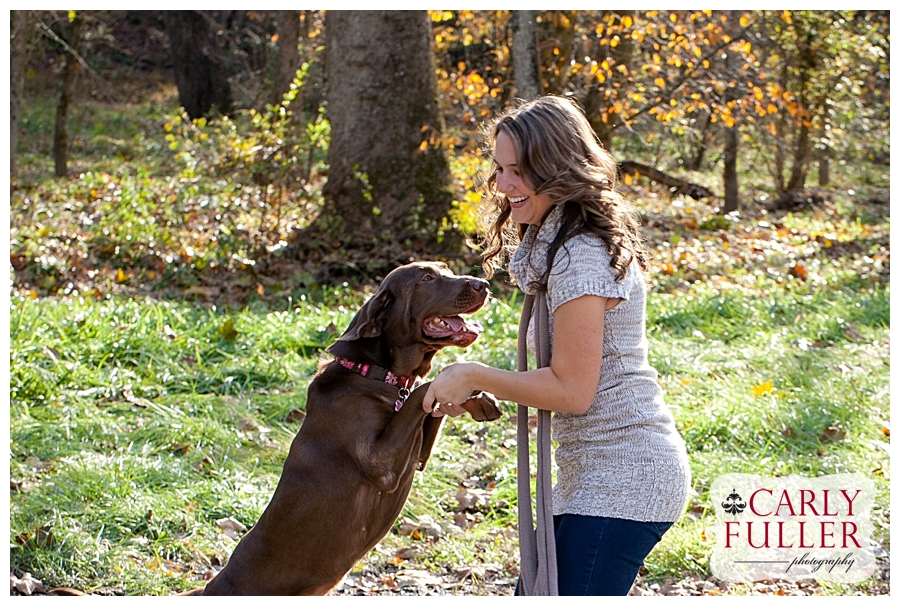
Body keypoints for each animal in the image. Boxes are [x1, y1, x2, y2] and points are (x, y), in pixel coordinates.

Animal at [192, 262, 500, 600]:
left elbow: (430, 402)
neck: (376, 375)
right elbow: (424, 390)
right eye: (427, 278)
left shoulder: (417, 456)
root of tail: (208, 589)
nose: (484, 284)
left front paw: (480, 399)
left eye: (445, 268)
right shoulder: (383, 464)